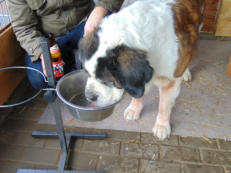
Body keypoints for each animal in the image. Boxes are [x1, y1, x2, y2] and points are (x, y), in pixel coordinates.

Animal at [79, 0, 204, 140]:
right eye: (87, 73)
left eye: (109, 81)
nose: (89, 97)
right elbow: (138, 94)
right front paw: (134, 109)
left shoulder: (169, 81)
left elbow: (164, 106)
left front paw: (162, 125)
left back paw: (185, 71)